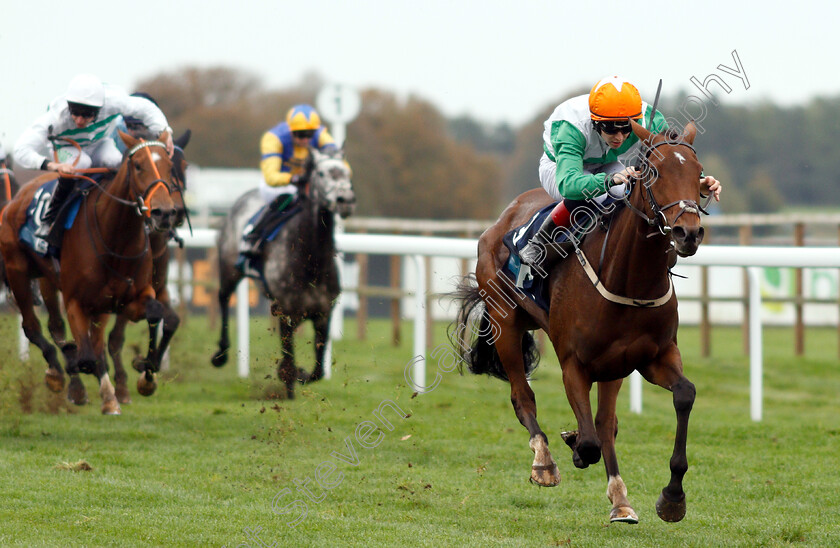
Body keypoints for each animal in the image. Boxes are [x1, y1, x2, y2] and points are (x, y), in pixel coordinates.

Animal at [0, 132, 184, 416]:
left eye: (170, 166)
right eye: (138, 165)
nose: (164, 212)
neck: (116, 239)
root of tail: (14, 201)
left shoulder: (131, 297)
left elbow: (155, 315)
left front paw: (145, 371)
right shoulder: (76, 301)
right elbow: (87, 355)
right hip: (19, 272)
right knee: (34, 327)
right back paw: (58, 373)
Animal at [212, 149, 356, 398]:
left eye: (347, 172)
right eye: (321, 173)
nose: (345, 200)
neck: (311, 262)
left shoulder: (323, 312)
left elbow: (318, 369)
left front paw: (300, 374)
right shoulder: (285, 311)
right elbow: (288, 355)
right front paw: (288, 380)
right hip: (230, 268)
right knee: (223, 297)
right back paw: (220, 354)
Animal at [452, 122, 704, 524]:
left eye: (698, 174)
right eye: (656, 173)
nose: (688, 233)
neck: (629, 278)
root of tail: (504, 218)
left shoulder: (653, 356)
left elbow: (683, 395)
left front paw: (672, 497)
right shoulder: (574, 363)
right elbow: (587, 442)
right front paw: (571, 444)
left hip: (614, 365)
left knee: (605, 423)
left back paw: (620, 500)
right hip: (506, 323)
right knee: (523, 397)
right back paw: (544, 463)